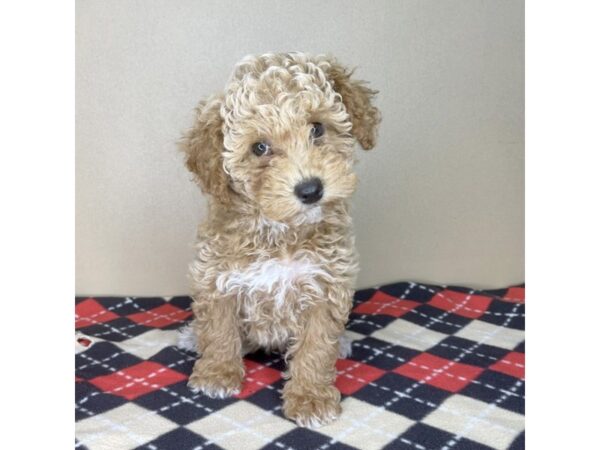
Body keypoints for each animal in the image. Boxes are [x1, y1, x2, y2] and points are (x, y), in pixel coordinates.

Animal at [180, 51, 382, 428]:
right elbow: (218, 328)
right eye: (259, 148)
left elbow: (316, 347)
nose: (310, 189)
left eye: (317, 128)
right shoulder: (215, 277)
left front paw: (311, 397)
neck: (280, 232)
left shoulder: (326, 285)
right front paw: (217, 373)